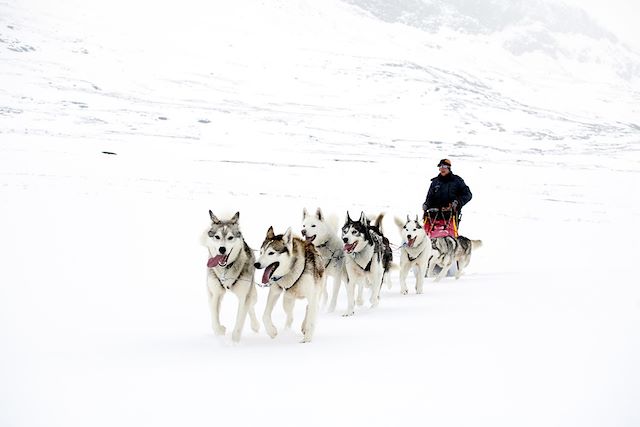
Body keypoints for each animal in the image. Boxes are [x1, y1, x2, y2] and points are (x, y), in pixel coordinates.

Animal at [202, 212, 258, 342]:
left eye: (230, 237)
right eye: (217, 237)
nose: (222, 249)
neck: (226, 269)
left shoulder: (244, 296)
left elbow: (239, 321)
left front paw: (234, 342)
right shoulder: (215, 294)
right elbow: (214, 318)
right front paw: (220, 331)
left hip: (251, 293)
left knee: (251, 306)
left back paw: (255, 325)